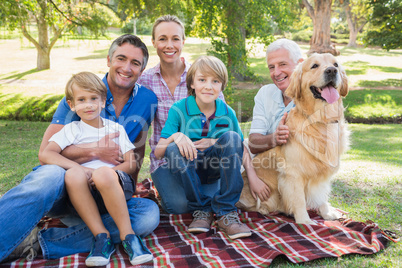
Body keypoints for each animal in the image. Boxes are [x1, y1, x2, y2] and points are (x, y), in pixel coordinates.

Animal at [239, 52, 348, 224]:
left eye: (336, 64)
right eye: (314, 65)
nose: (331, 71)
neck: (320, 119)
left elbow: (322, 194)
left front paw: (327, 213)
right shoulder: (293, 173)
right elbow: (299, 200)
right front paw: (305, 221)